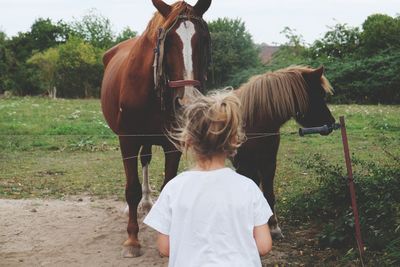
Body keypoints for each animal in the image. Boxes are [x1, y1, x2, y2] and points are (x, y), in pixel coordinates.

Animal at [101, 0, 211, 260]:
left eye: (202, 40)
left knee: (146, 159)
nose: (187, 102)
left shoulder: (172, 145)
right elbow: (131, 189)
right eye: (168, 41)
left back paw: (148, 202)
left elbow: (168, 184)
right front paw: (132, 240)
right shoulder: (128, 140)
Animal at [233, 66, 336, 240]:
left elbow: (268, 194)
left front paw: (274, 228)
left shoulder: (268, 162)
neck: (255, 124)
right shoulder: (244, 165)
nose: (331, 124)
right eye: (320, 94)